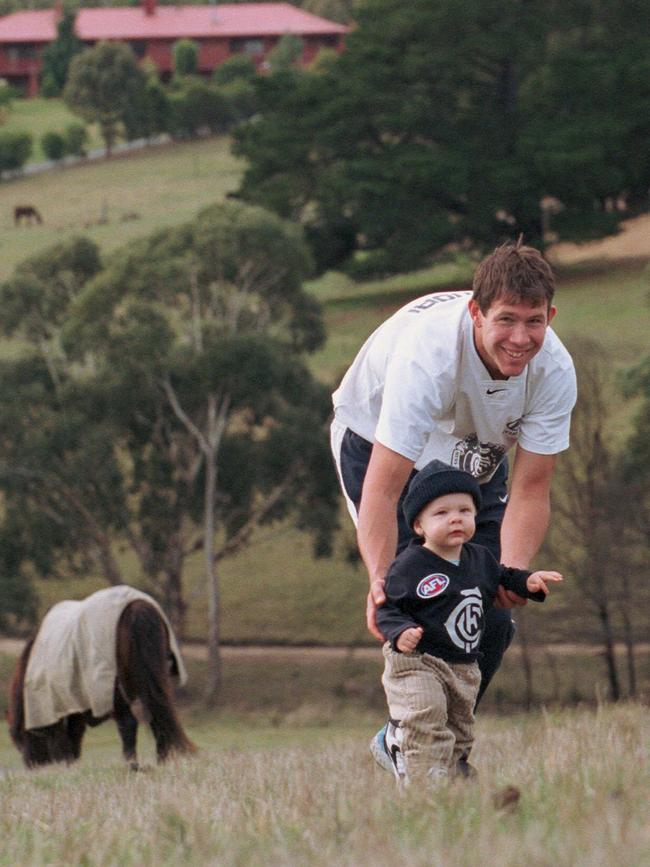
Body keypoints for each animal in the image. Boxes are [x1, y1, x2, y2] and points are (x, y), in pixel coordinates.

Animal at [6, 588, 195, 768]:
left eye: (23, 740)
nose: (32, 765)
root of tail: (136, 606)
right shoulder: (74, 701)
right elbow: (75, 732)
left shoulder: (53, 704)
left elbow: (62, 735)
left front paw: (67, 763)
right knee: (158, 711)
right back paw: (162, 757)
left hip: (113, 686)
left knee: (128, 722)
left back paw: (132, 762)